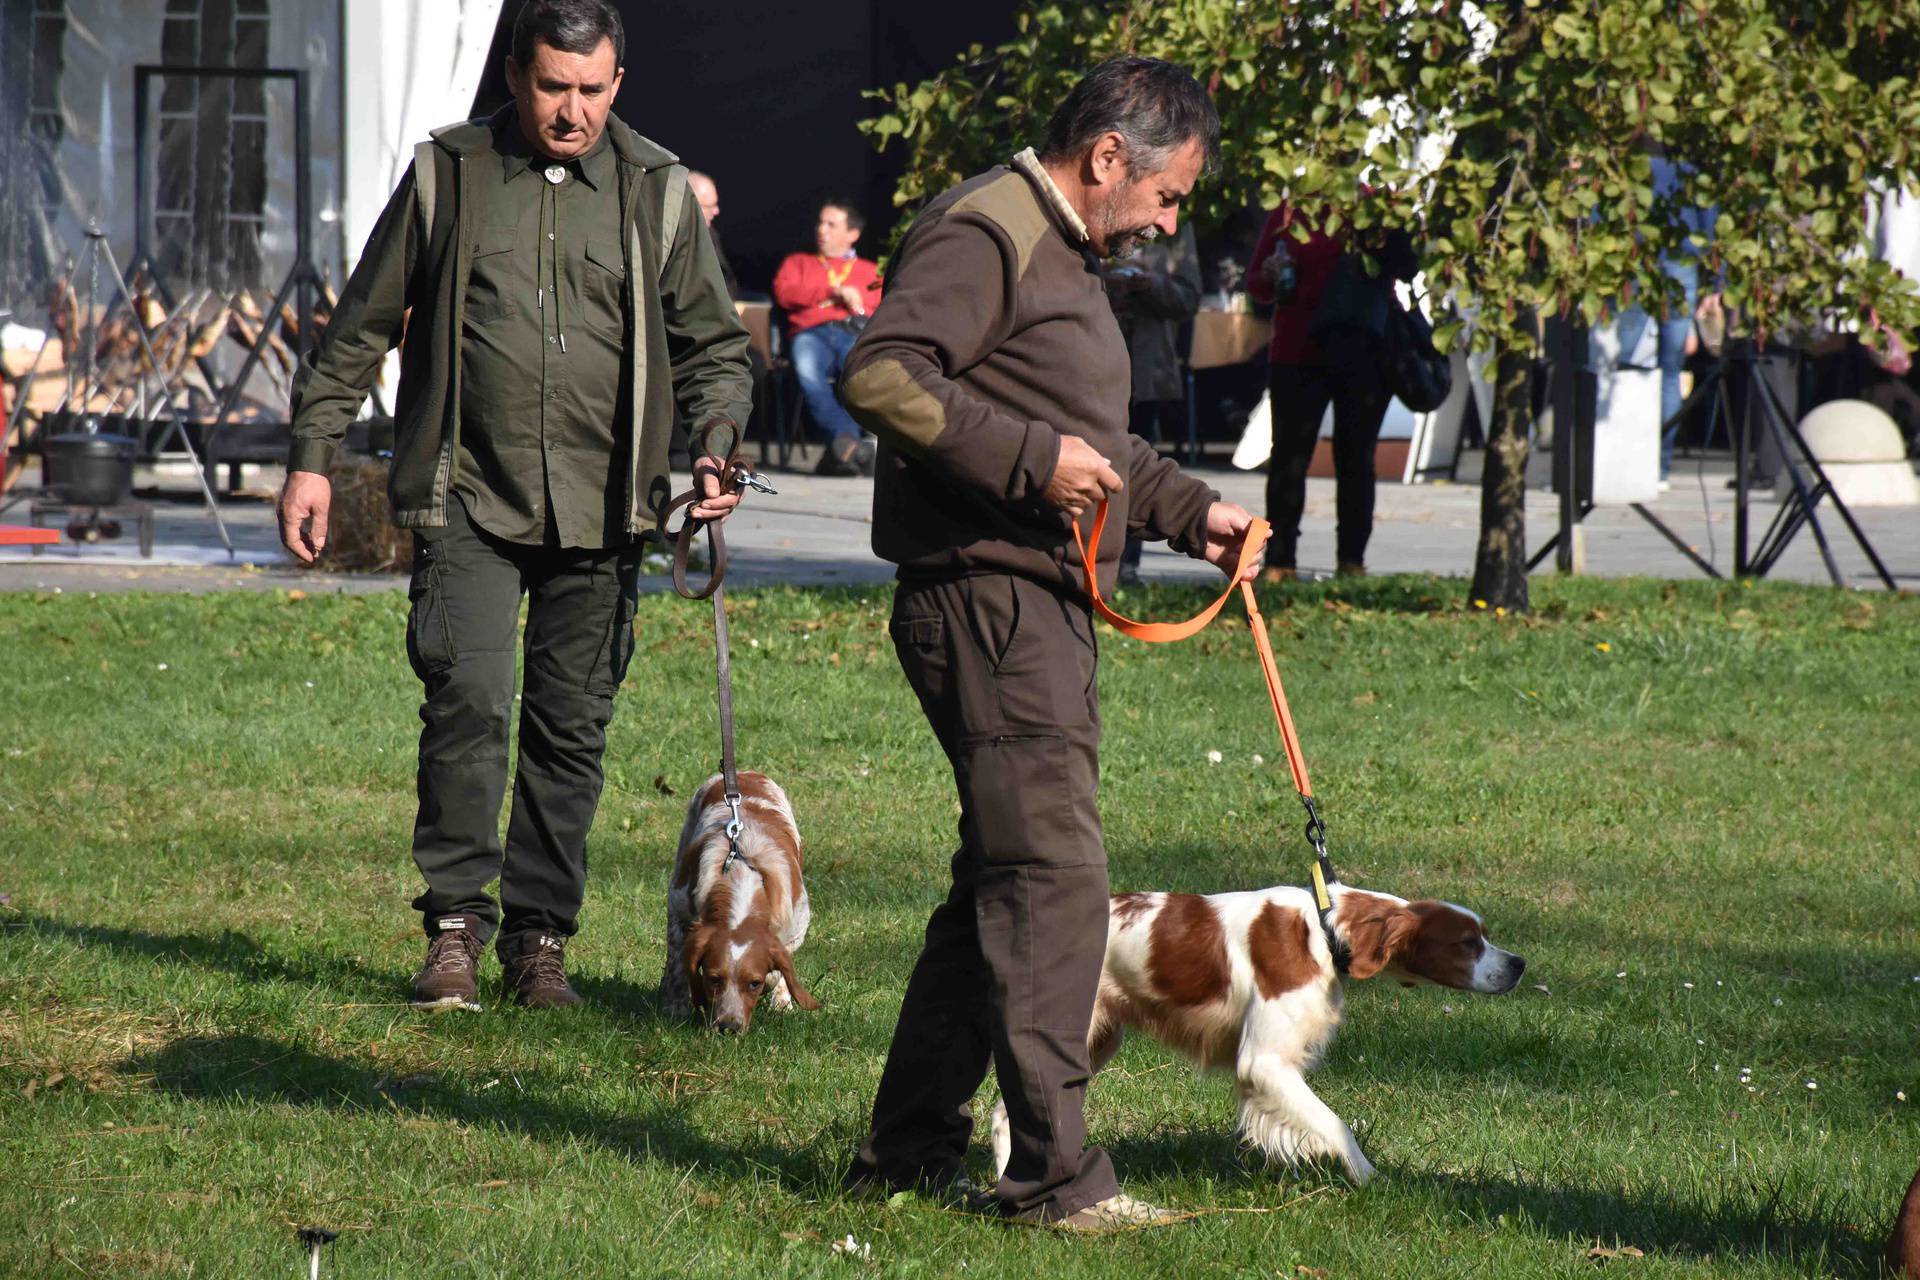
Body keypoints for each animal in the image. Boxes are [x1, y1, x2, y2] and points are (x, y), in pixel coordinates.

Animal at [660, 771, 817, 1028]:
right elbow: (678, 963)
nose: (729, 1027)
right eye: (714, 979)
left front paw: (781, 1001)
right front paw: (676, 1008)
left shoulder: (796, 928)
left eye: (753, 983)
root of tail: (746, 773)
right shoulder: (678, 906)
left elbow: (780, 970)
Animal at [998, 886, 1520, 1189]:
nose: (1520, 964)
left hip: (1096, 1041)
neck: (1325, 930)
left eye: (1484, 935)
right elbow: (1336, 1124)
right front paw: (1370, 1179)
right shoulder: (1264, 1062)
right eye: (1468, 942)